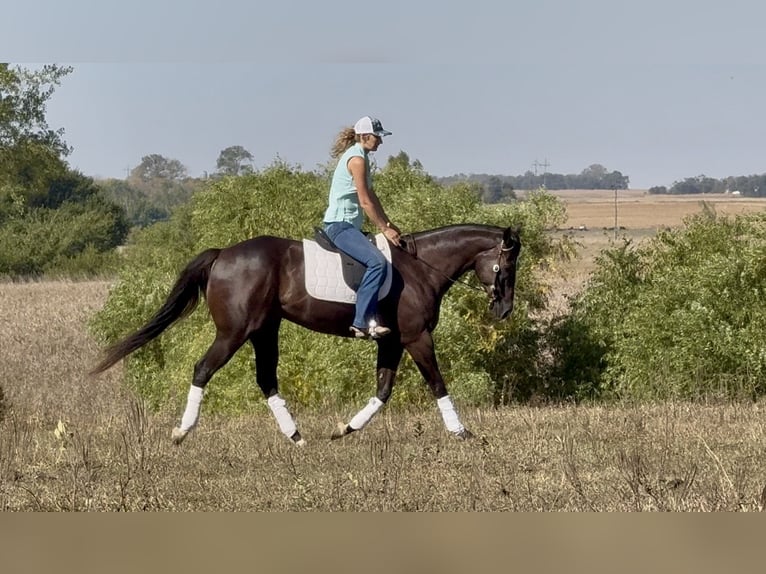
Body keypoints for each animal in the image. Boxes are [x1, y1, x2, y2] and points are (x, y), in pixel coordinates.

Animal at [90, 223, 522, 446]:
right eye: (506, 266)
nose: (504, 310)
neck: (420, 268)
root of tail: (223, 254)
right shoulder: (416, 338)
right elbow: (437, 383)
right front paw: (461, 432)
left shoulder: (392, 340)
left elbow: (382, 391)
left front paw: (345, 429)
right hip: (234, 332)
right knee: (202, 369)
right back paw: (182, 431)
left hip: (265, 330)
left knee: (266, 378)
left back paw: (296, 436)